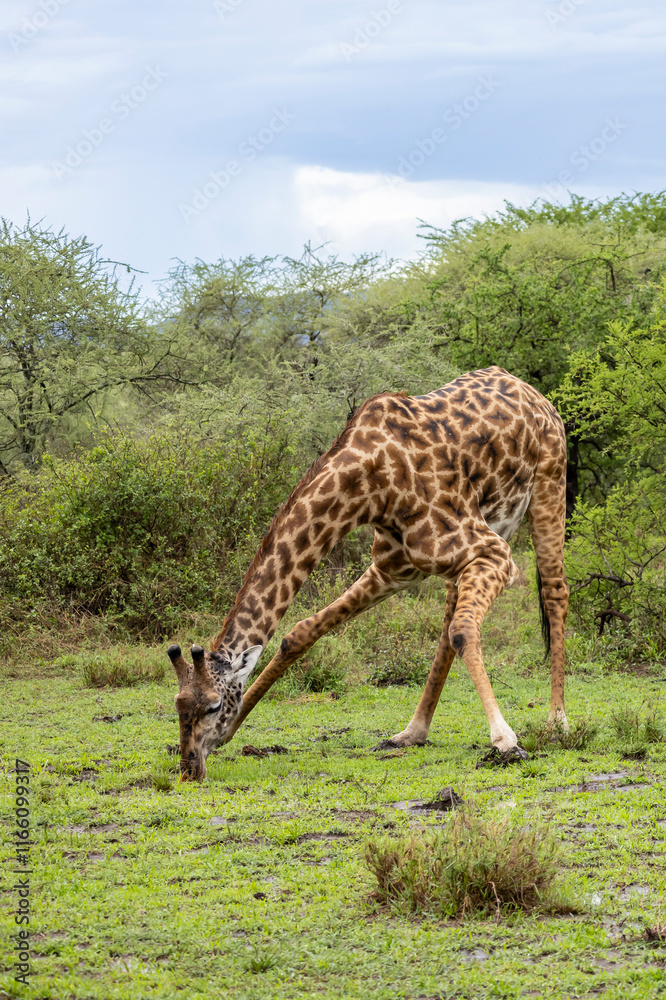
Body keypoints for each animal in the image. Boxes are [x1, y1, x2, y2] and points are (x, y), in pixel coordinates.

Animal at [168, 366, 569, 780]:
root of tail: (531, 391)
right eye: (178, 706)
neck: (368, 487)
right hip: (468, 545)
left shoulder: (495, 553)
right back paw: (411, 732)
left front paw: (505, 740)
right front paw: (234, 730)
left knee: (554, 592)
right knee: (448, 623)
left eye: (214, 705)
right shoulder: (393, 570)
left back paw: (557, 721)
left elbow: (463, 631)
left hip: (549, 485)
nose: (188, 768)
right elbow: (299, 634)